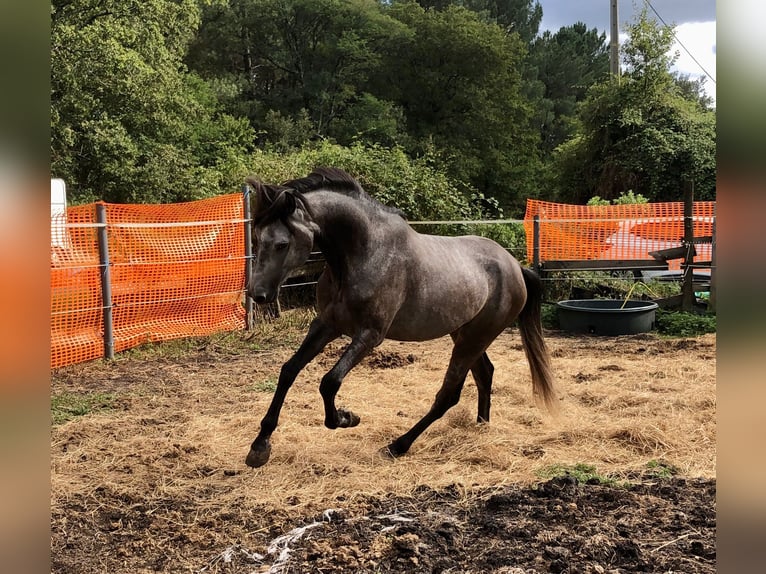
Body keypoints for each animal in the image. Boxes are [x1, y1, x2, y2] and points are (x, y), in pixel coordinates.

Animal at [246, 166, 560, 468]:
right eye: (257, 239)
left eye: (282, 244)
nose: (258, 294)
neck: (363, 253)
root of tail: (515, 266)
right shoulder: (327, 324)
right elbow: (289, 370)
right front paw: (259, 447)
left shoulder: (370, 335)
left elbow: (330, 381)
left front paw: (346, 417)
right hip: (464, 333)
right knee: (484, 374)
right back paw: (481, 428)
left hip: (475, 337)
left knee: (448, 394)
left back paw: (398, 445)